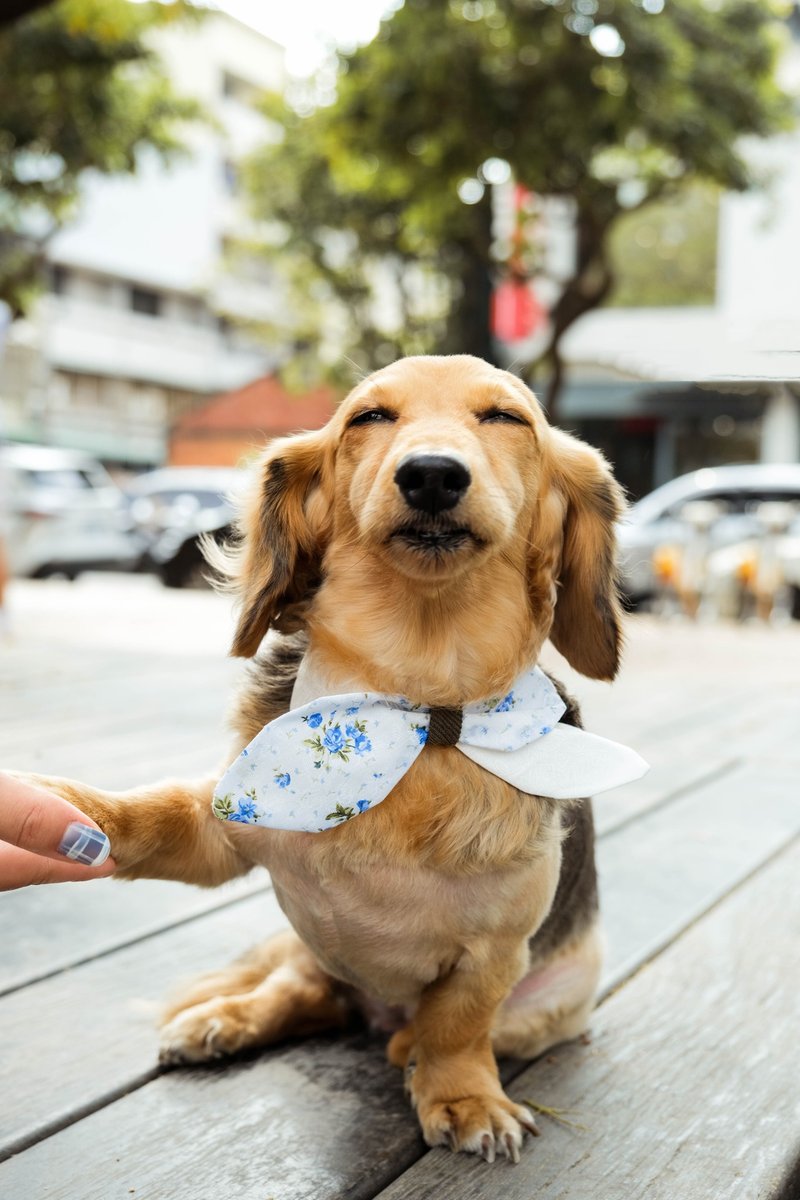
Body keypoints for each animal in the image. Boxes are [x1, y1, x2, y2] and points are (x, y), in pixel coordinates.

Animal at [18, 352, 628, 1161]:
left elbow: (458, 1026)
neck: (415, 709)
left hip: (561, 996)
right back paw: (225, 1021)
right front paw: (57, 806)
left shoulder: (495, 953)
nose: (432, 475)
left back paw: (399, 1047)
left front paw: (463, 1096)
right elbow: (143, 819)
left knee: (422, 1025)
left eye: (505, 418)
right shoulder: (228, 824)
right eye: (369, 417)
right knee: (301, 989)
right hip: (315, 946)